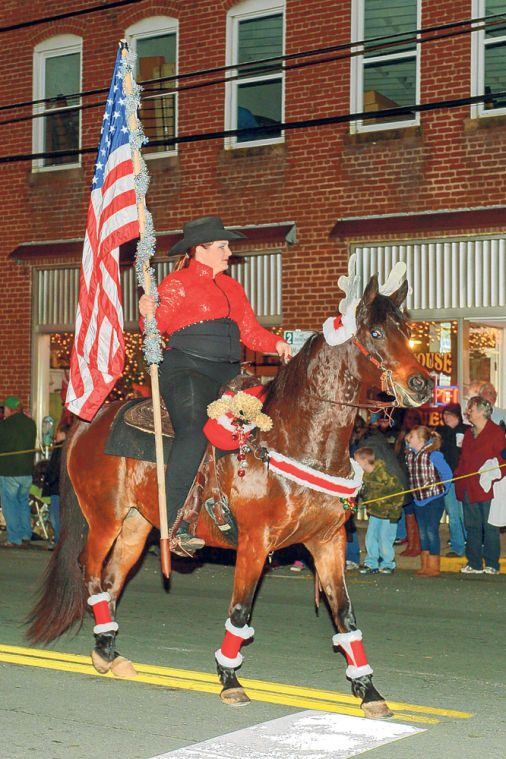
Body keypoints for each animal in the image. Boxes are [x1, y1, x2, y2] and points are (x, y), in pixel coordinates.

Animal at [26, 272, 430, 720]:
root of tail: (88, 418)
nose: (422, 384)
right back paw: (104, 646)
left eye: (408, 331)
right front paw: (229, 679)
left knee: (113, 577)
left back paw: (109, 651)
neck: (295, 438)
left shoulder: (329, 542)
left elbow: (345, 615)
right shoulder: (255, 542)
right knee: (92, 570)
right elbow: (240, 610)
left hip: (137, 524)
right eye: (375, 333)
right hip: (103, 518)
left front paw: (368, 689)